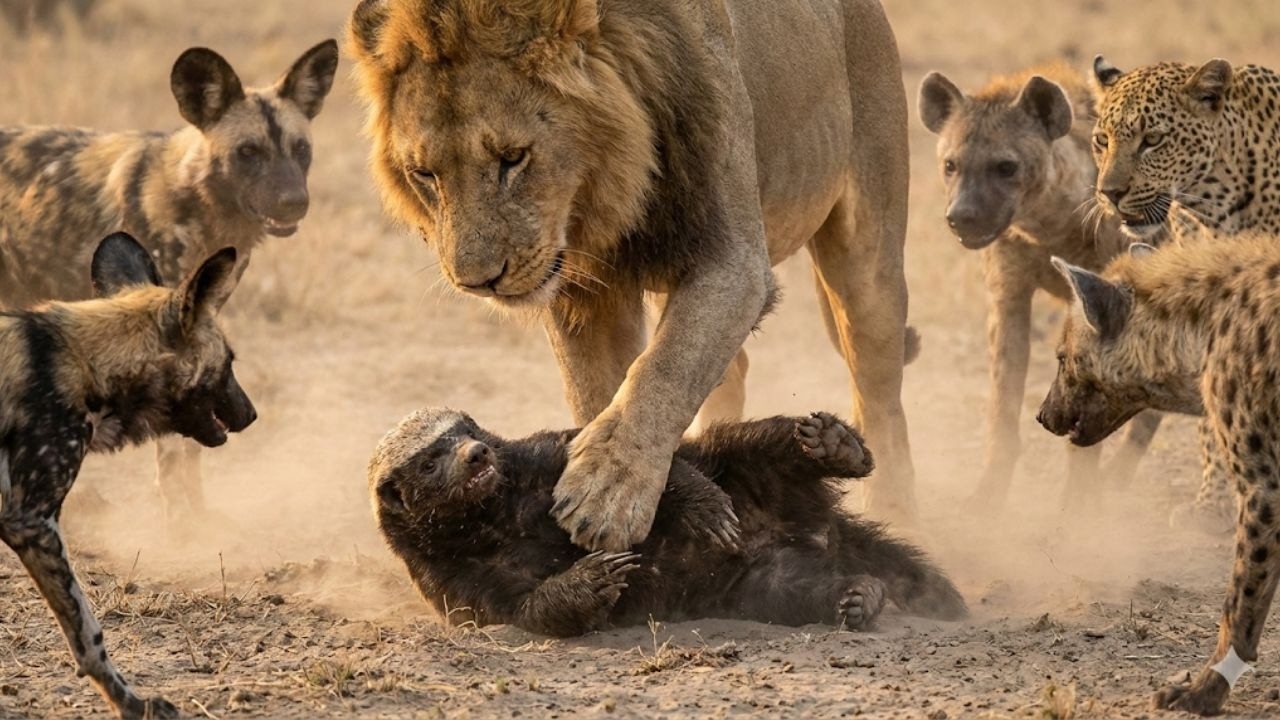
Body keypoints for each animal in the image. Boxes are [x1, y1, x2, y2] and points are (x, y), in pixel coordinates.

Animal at [347, 0, 917, 551]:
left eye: (513, 157)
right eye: (425, 174)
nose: (478, 281)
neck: (610, 188)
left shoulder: (733, 260)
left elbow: (664, 369)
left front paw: (607, 493)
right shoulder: (582, 290)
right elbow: (599, 393)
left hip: (869, 252)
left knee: (878, 391)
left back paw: (894, 506)